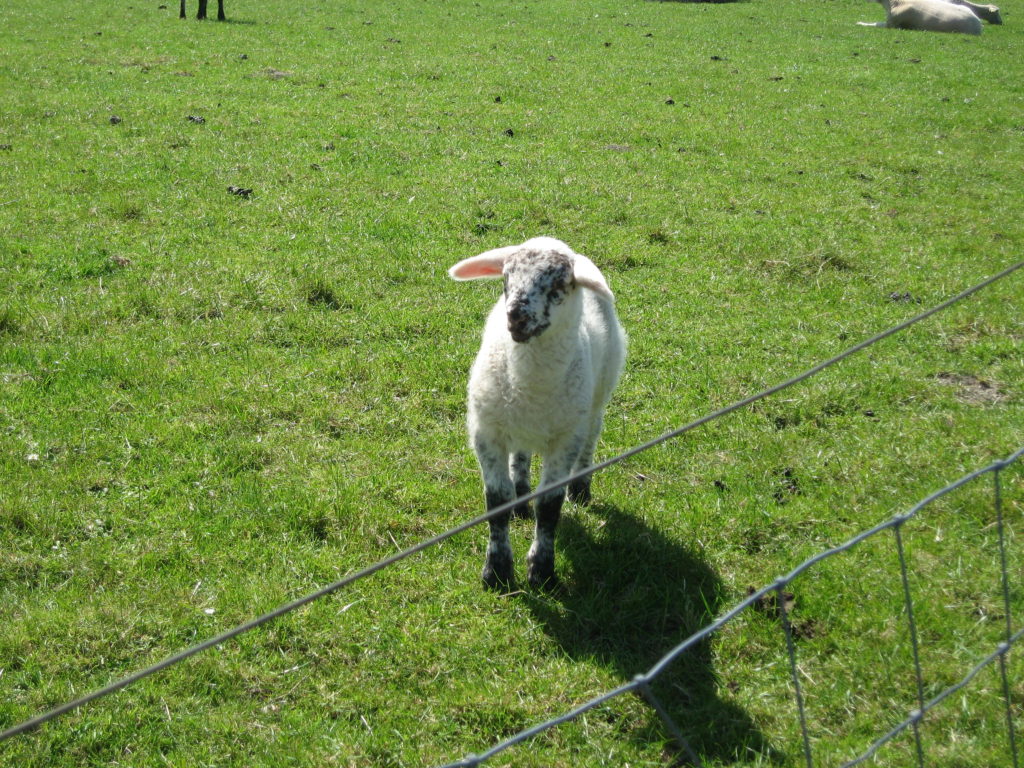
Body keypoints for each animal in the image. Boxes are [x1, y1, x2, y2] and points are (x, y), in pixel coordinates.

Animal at [449, 237, 626, 590]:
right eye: (505, 279)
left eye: (559, 285)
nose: (516, 316)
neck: (530, 383)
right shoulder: (487, 432)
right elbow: (497, 502)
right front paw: (497, 571)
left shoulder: (565, 440)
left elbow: (549, 506)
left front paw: (542, 570)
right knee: (521, 453)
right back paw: (521, 495)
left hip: (598, 394)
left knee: (592, 434)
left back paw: (581, 488)